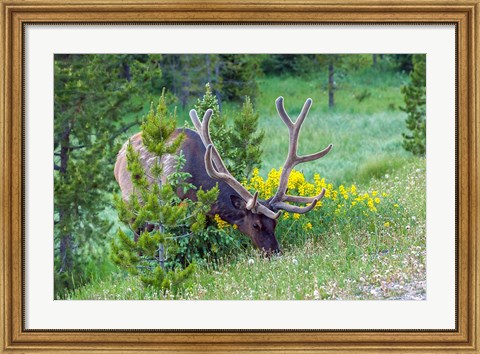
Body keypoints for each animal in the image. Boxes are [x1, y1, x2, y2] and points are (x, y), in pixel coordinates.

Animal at [114, 97, 332, 254]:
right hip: (134, 205)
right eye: (255, 224)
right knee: (138, 239)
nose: (275, 252)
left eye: (275, 223)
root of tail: (119, 155)